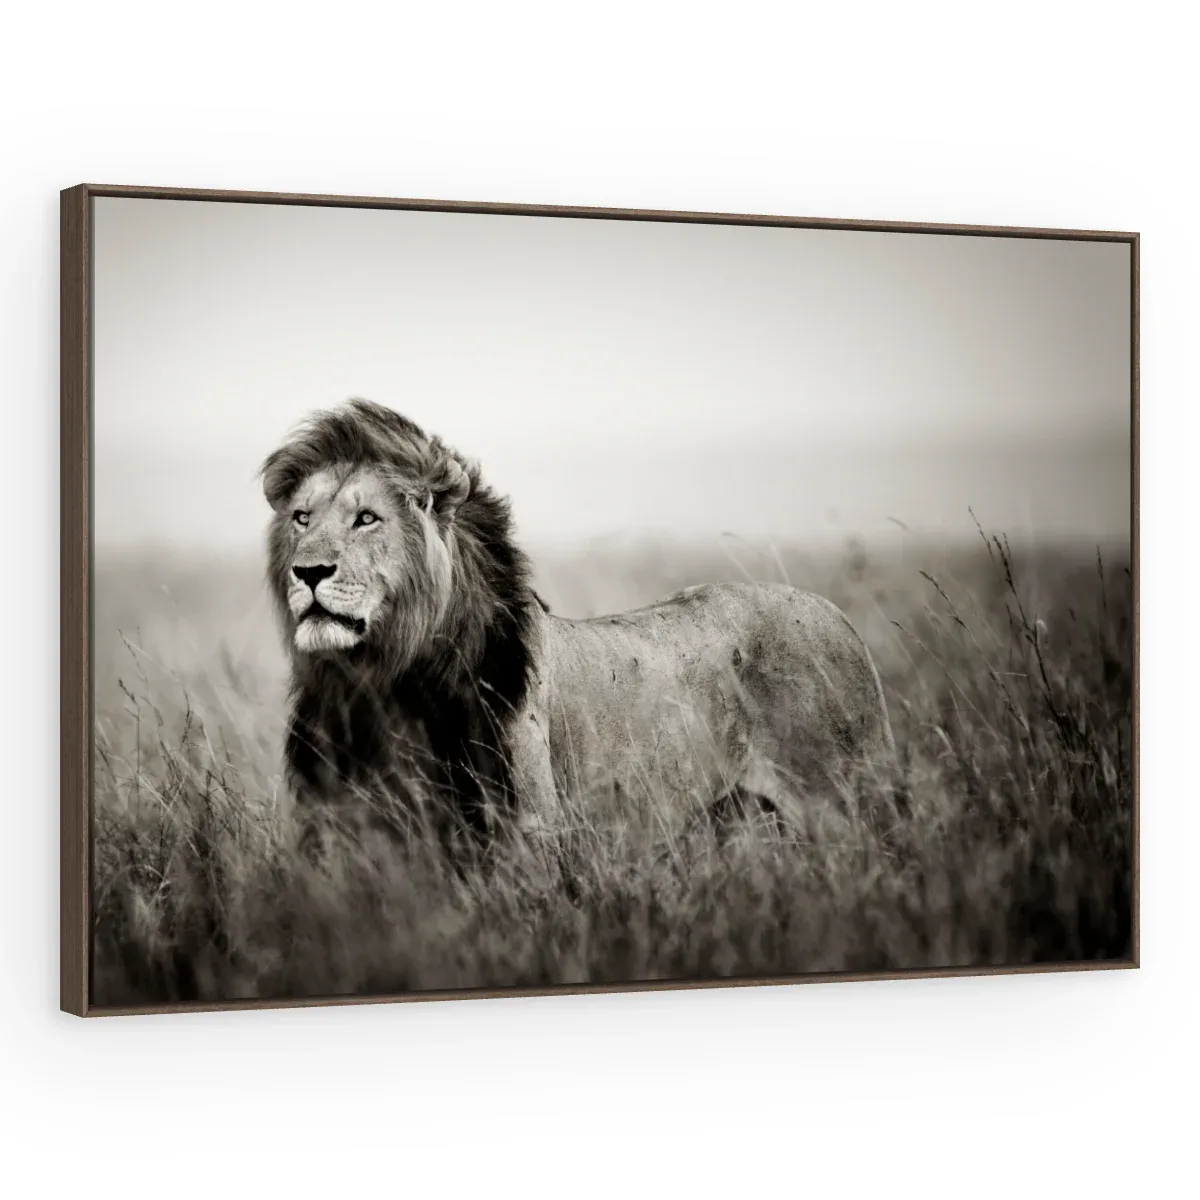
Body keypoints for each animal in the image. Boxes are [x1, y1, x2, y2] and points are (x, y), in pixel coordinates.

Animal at [261, 399, 897, 854]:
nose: (308, 571)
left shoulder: (526, 834)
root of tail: (839, 617)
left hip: (845, 804)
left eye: (367, 519)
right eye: (302, 518)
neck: (380, 683)